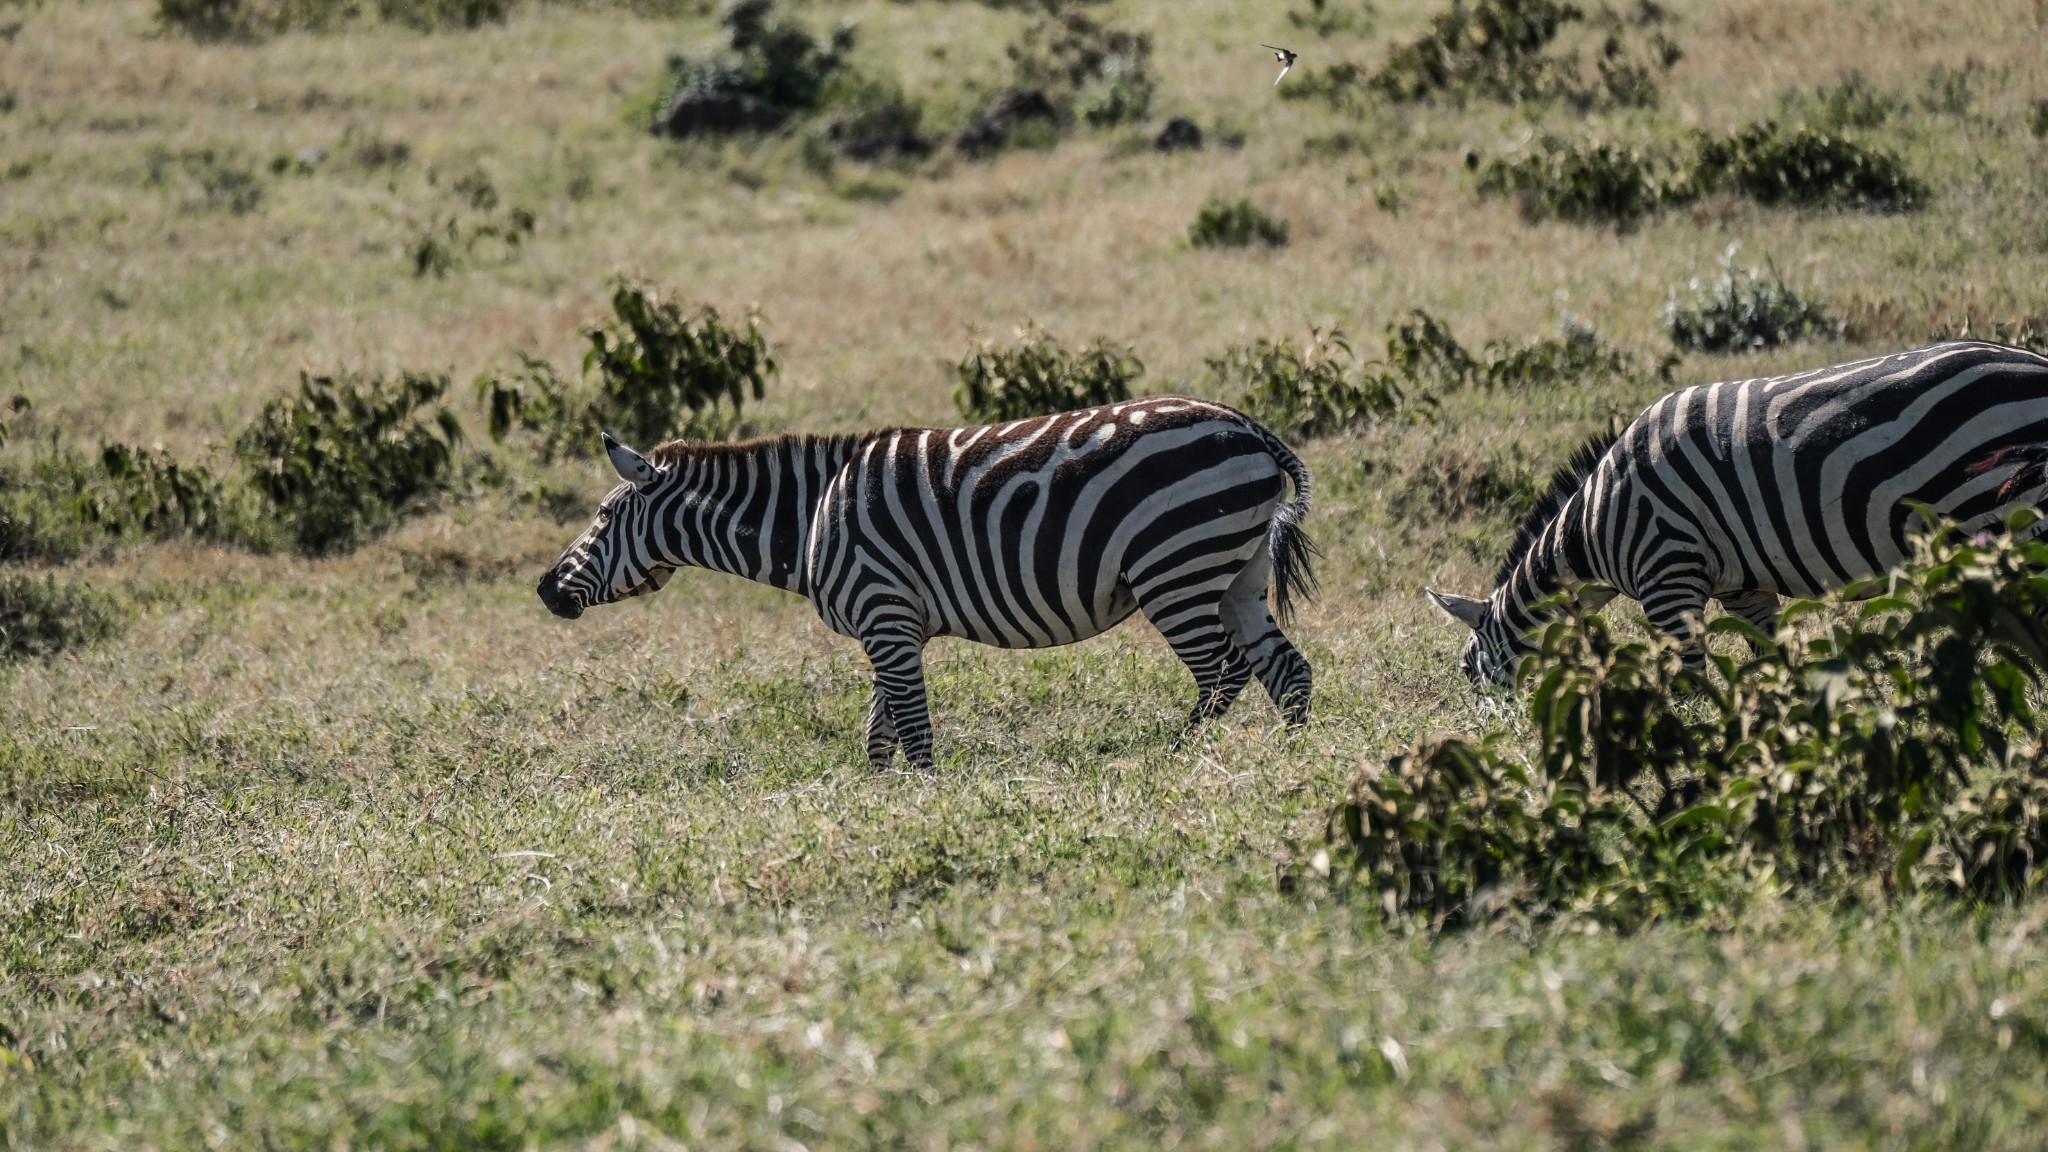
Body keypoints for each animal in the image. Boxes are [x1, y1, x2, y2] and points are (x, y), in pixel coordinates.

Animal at [536, 399, 1318, 766]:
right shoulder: (892, 627)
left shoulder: (883, 615)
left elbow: (910, 728)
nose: (545, 590)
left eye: (602, 516)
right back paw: (1292, 760)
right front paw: (883, 801)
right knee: (1286, 670)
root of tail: (1247, 426)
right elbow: (880, 732)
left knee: (1221, 673)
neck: (810, 519)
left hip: (1174, 565)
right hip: (1233, 571)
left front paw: (926, 801)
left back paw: (1177, 756)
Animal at [1425, 340, 2048, 680]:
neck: (1593, 528)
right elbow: (1771, 666)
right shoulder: (1745, 591)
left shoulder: (1667, 577)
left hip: (2002, 509)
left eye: (1467, 672)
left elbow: (1689, 685)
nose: (1488, 739)